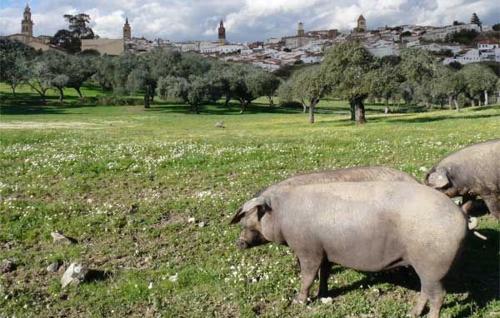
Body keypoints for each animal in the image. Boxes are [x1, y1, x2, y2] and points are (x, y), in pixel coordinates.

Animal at [232, 183, 466, 316]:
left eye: (250, 222)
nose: (239, 243)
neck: (282, 216)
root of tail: (461, 218)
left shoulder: (309, 250)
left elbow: (307, 276)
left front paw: (298, 302)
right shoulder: (325, 251)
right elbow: (324, 273)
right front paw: (323, 295)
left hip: (432, 264)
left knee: (438, 295)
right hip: (425, 268)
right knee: (426, 291)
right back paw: (412, 314)